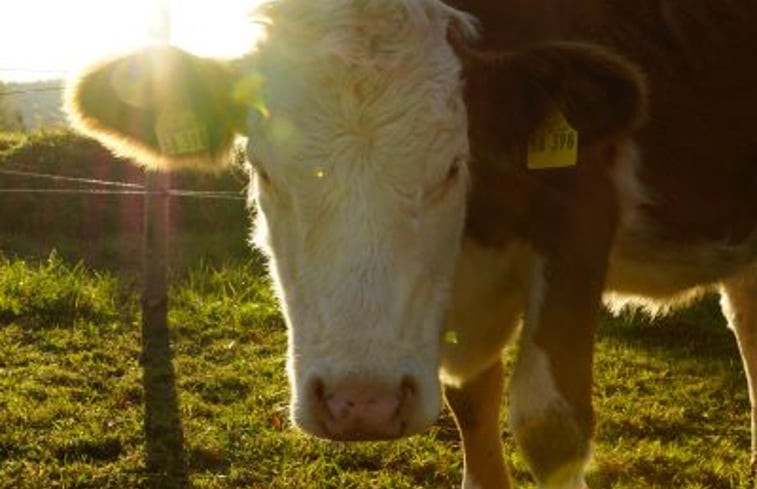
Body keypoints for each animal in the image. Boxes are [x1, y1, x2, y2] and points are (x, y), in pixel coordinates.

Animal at [66, 0, 756, 486]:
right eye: (263, 169)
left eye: (454, 165)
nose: (360, 404)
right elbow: (472, 405)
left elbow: (549, 425)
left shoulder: (579, 214)